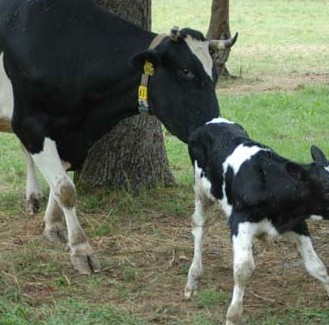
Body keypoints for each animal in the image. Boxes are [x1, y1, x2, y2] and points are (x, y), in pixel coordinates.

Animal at [0, 0, 236, 274]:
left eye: (215, 75)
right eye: (186, 71)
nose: (216, 133)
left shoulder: (68, 134)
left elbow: (58, 181)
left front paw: (54, 225)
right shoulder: (31, 123)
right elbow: (65, 189)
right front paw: (81, 249)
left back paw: (32, 196)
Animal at [183, 117, 328, 324]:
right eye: (326, 189)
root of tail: (211, 122)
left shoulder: (297, 224)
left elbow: (317, 266)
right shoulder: (239, 222)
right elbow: (243, 270)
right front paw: (233, 316)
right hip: (201, 191)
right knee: (198, 228)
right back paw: (193, 279)